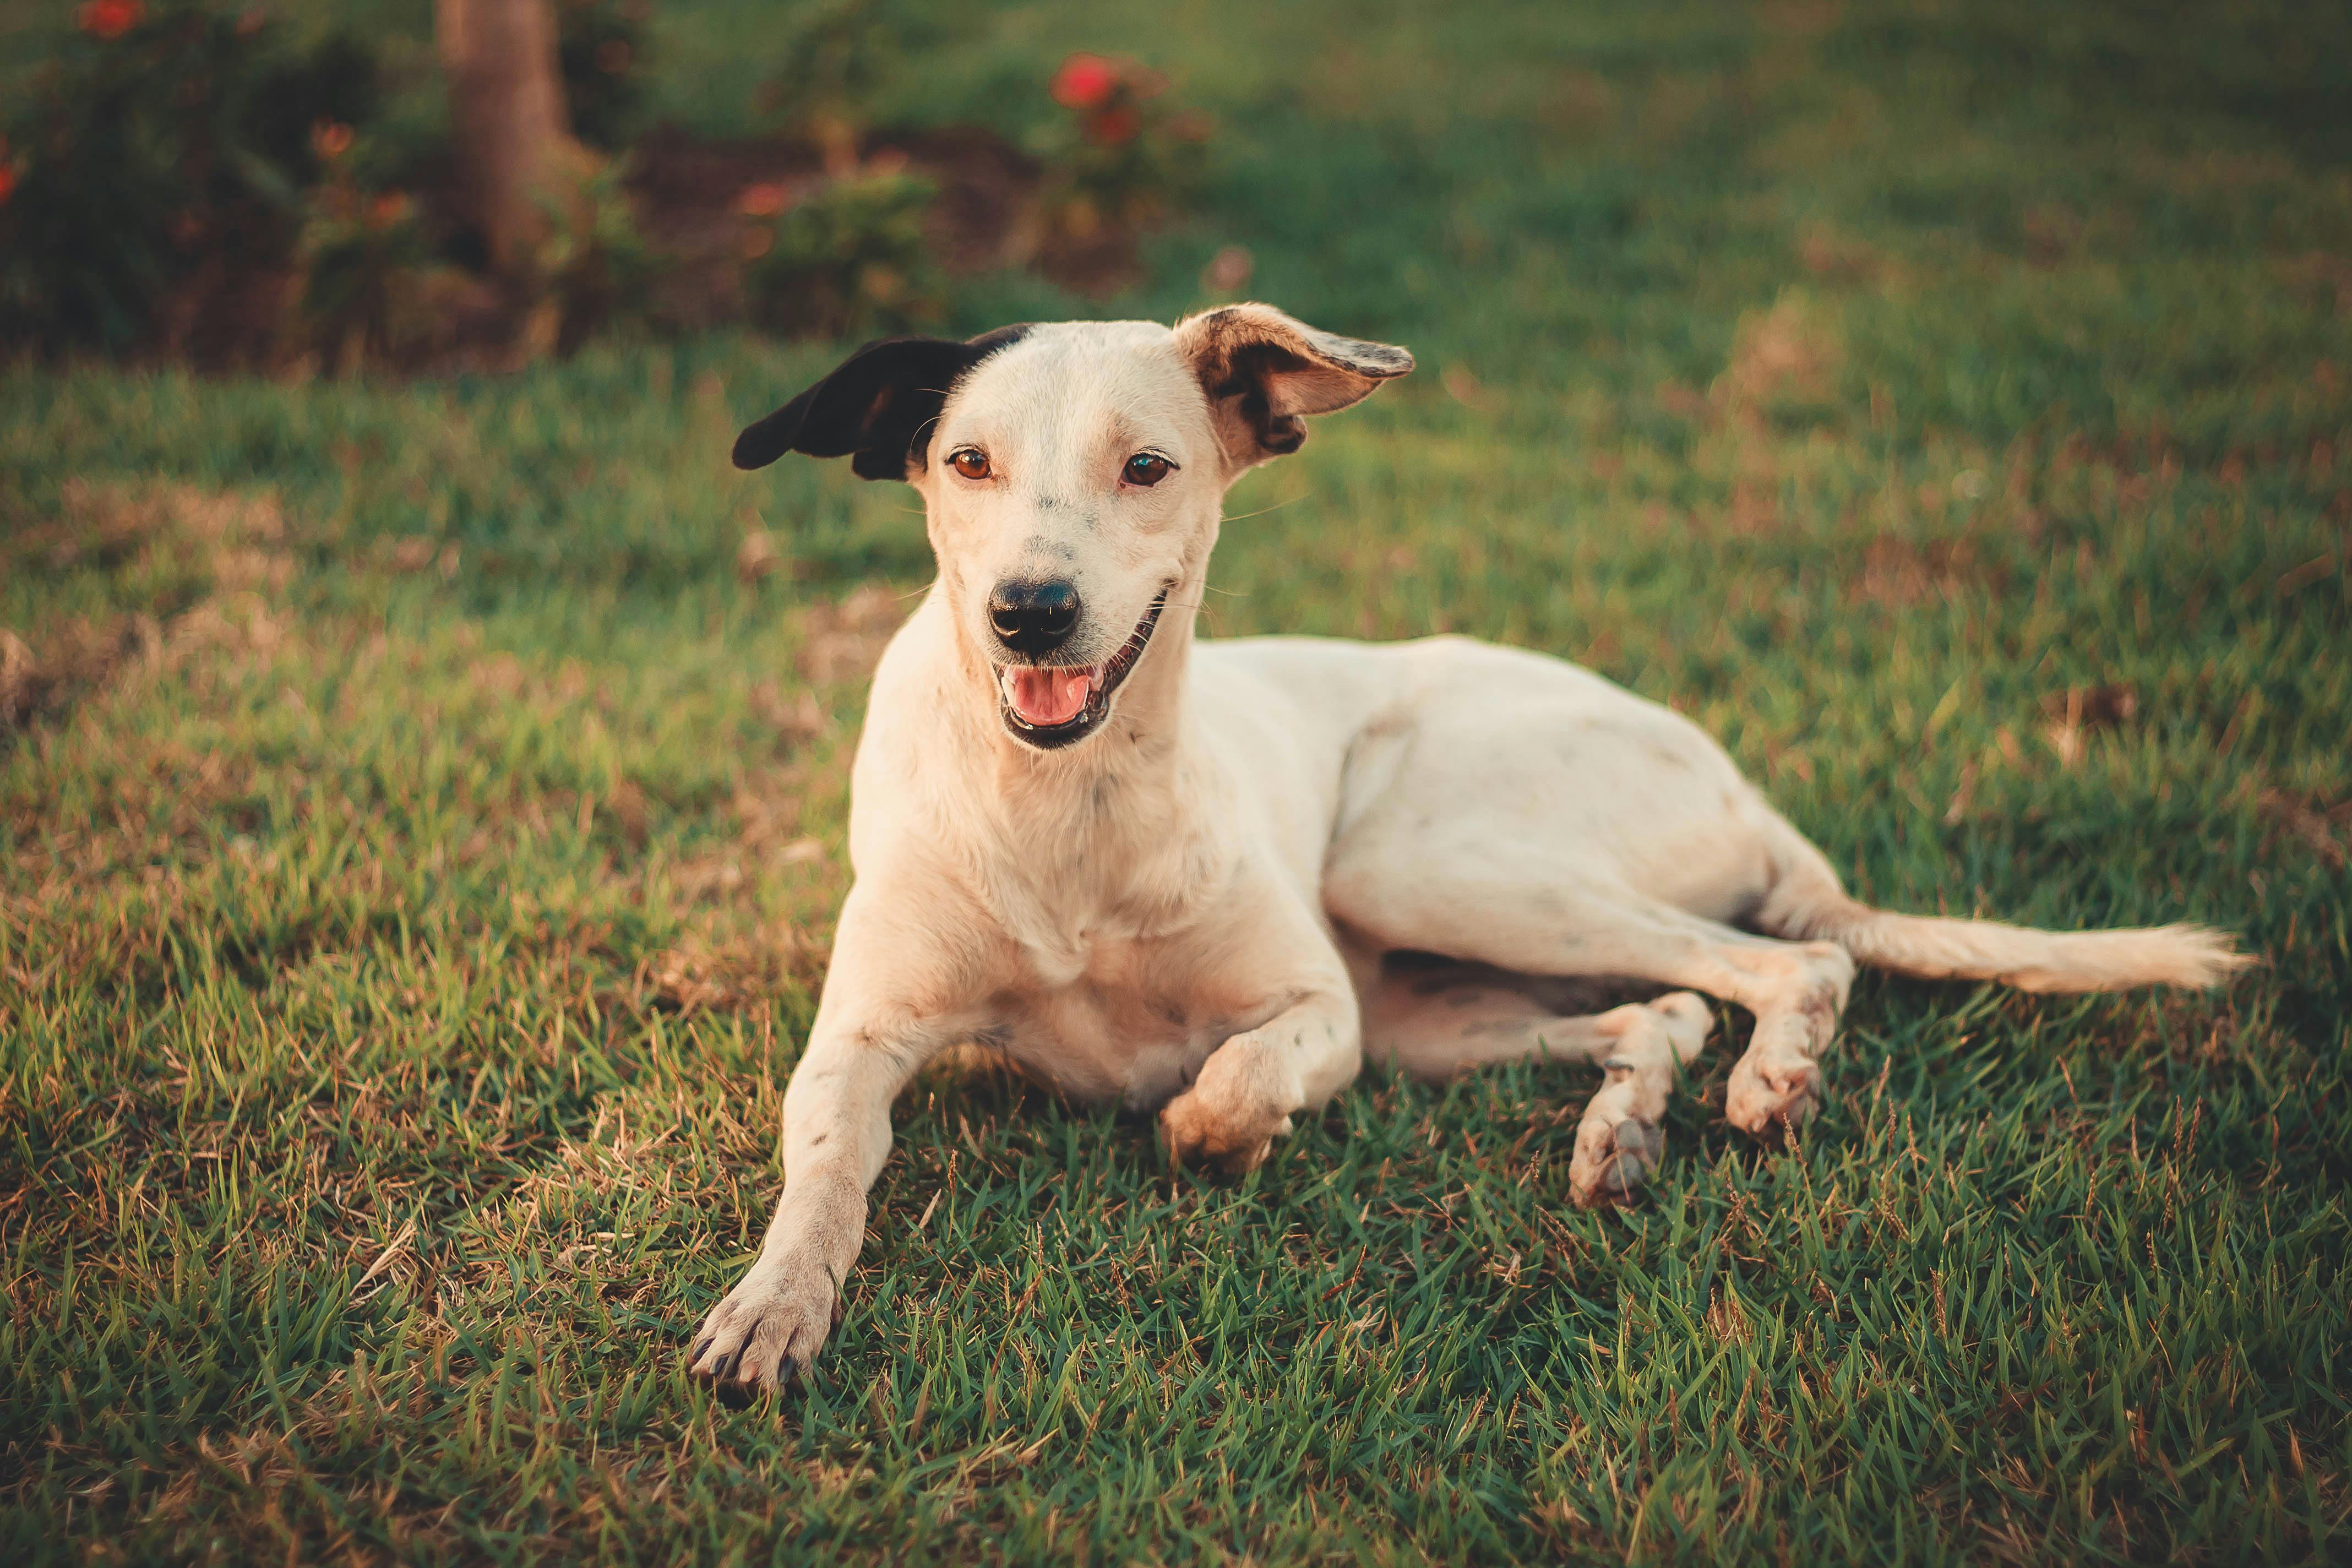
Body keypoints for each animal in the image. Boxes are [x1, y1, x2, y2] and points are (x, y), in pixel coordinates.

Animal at [687, 310, 2258, 1401]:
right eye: (967, 463)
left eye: (1147, 466)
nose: (1029, 609)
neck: (1065, 806)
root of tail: (1742, 784)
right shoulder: (859, 1041)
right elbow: (823, 1174)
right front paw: (773, 1304)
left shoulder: (1318, 1013)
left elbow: (1225, 1080)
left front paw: (1208, 1129)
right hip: (1424, 1002)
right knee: (1664, 1005)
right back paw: (1623, 1129)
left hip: (1420, 868)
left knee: (1789, 961)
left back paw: (1771, 1080)